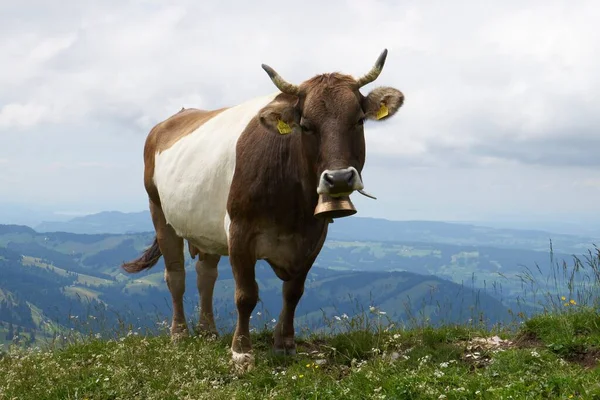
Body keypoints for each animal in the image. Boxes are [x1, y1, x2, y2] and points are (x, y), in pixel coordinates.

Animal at [121, 49, 404, 372]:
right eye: (306, 125)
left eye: (358, 121)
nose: (340, 178)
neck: (293, 211)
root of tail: (173, 117)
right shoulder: (240, 231)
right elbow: (246, 295)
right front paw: (241, 352)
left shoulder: (314, 234)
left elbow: (293, 293)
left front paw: (285, 345)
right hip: (159, 212)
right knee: (175, 275)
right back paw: (179, 334)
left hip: (206, 226)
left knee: (206, 275)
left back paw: (208, 331)